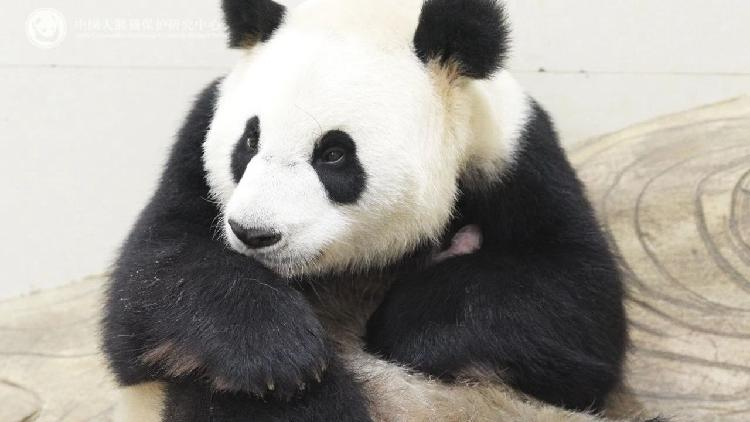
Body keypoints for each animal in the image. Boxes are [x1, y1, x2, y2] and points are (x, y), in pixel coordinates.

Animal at [102, 0, 633, 421]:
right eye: (249, 141)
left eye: (334, 153)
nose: (253, 233)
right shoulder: (196, 144)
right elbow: (155, 275)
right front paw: (274, 353)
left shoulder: (515, 156)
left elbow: (573, 301)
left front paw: (405, 323)